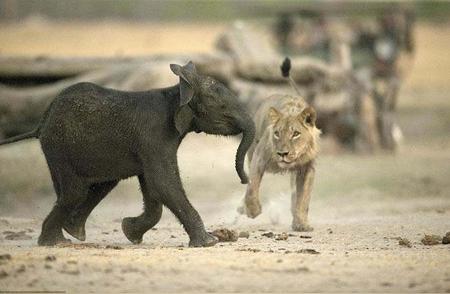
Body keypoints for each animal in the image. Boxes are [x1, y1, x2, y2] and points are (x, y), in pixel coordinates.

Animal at [0, 60, 255, 247]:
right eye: (222, 108)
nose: (244, 180)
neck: (176, 93)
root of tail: (42, 121)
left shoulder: (150, 143)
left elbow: (153, 190)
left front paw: (130, 233)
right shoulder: (154, 136)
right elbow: (163, 183)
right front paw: (209, 242)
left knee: (96, 186)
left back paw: (71, 233)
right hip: (60, 147)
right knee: (75, 191)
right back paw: (55, 242)